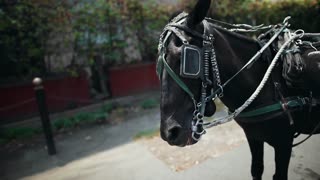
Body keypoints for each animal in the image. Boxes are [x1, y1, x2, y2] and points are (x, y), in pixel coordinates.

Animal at [158, 0, 320, 180]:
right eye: (159, 65)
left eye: (188, 59)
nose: (169, 133)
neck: (270, 83)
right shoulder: (253, 136)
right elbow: (256, 169)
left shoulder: (284, 143)